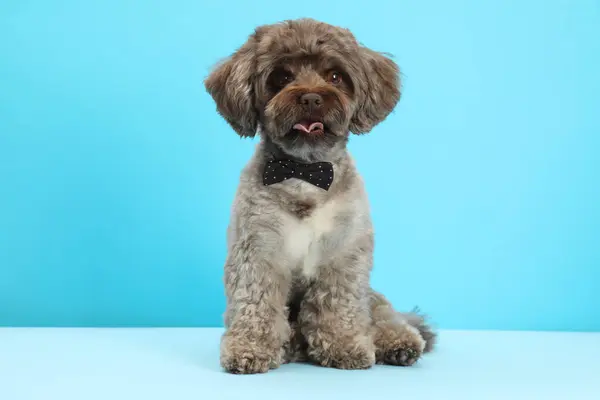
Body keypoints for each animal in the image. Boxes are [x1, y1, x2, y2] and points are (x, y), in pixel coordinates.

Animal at [204, 18, 434, 376]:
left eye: (335, 76)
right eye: (281, 77)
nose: (311, 98)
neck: (304, 172)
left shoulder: (343, 255)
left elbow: (339, 306)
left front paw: (343, 346)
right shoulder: (257, 253)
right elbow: (256, 303)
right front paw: (251, 348)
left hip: (373, 298)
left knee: (382, 314)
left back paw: (398, 342)